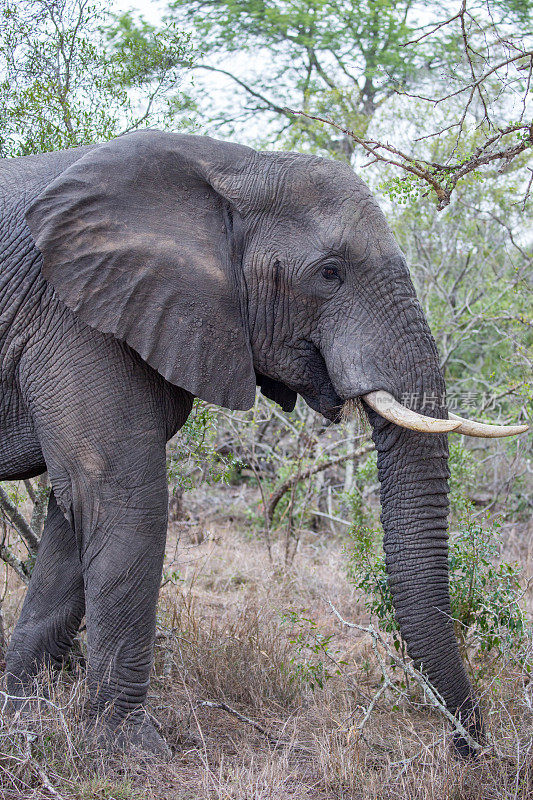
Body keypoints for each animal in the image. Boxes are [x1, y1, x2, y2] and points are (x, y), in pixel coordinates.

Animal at [0, 131, 524, 756]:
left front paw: (21, 714)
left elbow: (73, 513)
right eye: (329, 273)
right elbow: (122, 500)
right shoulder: (75, 318)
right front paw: (130, 752)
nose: (470, 747)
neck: (232, 165)